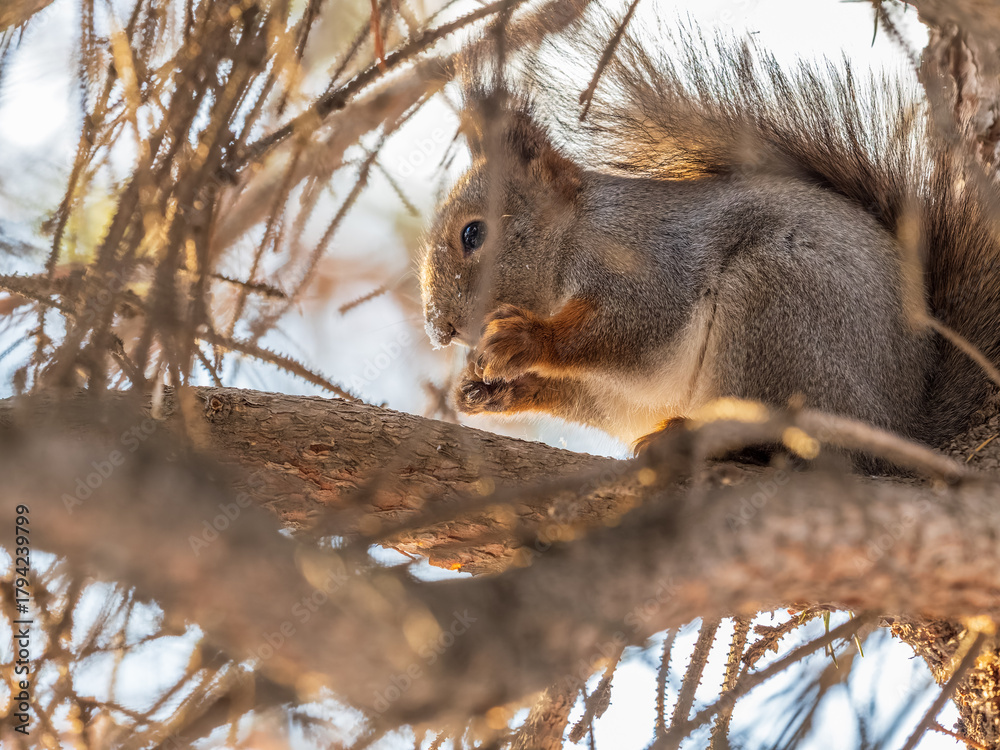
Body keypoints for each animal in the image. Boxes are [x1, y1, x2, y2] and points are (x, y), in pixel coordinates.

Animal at [418, 29, 1000, 458]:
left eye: (473, 233)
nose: (438, 329)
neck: (572, 236)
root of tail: (903, 423)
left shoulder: (648, 261)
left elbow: (631, 323)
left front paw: (526, 339)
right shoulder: (609, 395)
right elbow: (578, 393)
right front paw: (488, 389)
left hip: (773, 310)